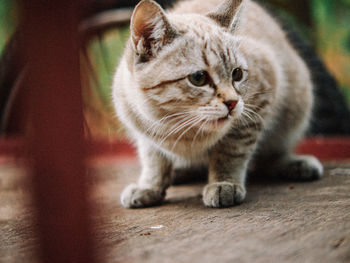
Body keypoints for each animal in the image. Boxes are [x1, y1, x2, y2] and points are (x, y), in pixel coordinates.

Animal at [112, 0, 322, 209]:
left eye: (237, 74)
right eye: (198, 78)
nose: (232, 102)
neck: (176, 127)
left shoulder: (255, 109)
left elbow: (231, 153)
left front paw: (224, 184)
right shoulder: (144, 135)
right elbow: (153, 161)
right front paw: (149, 187)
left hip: (296, 106)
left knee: (272, 156)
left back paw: (295, 165)